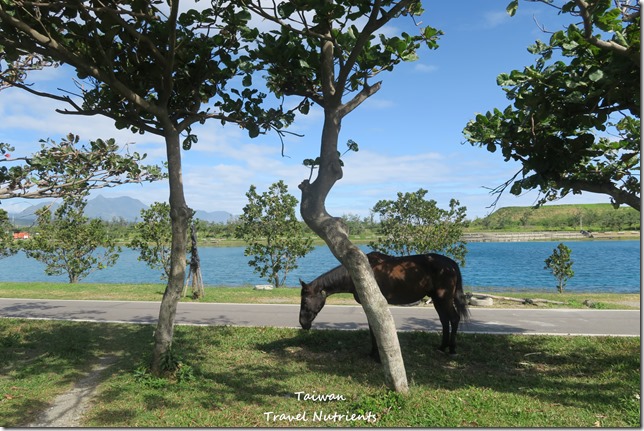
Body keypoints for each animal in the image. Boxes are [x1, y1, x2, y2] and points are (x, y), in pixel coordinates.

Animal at [300, 251, 470, 360]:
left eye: (305, 300)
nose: (303, 323)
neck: (361, 274)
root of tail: (450, 264)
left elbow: (374, 329)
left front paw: (375, 355)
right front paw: (373, 353)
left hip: (444, 298)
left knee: (454, 319)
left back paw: (452, 349)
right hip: (437, 299)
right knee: (444, 321)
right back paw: (442, 347)